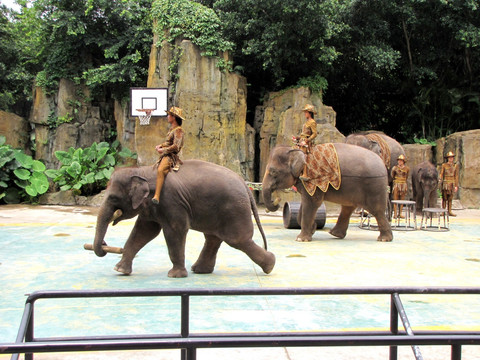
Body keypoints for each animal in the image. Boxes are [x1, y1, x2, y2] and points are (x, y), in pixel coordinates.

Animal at [91, 160, 276, 278]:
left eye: (113, 198)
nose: (104, 244)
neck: (142, 170)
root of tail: (245, 184)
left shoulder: (171, 201)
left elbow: (175, 230)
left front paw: (175, 276)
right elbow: (144, 232)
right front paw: (120, 270)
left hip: (234, 208)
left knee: (237, 240)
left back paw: (270, 265)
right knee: (214, 238)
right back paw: (199, 270)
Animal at [262, 143, 394, 242]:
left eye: (273, 171)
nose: (277, 202)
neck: (298, 150)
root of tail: (383, 164)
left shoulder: (313, 181)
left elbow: (312, 203)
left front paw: (301, 239)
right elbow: (305, 204)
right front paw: (313, 228)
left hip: (374, 186)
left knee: (377, 210)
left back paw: (384, 239)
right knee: (348, 208)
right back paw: (335, 234)